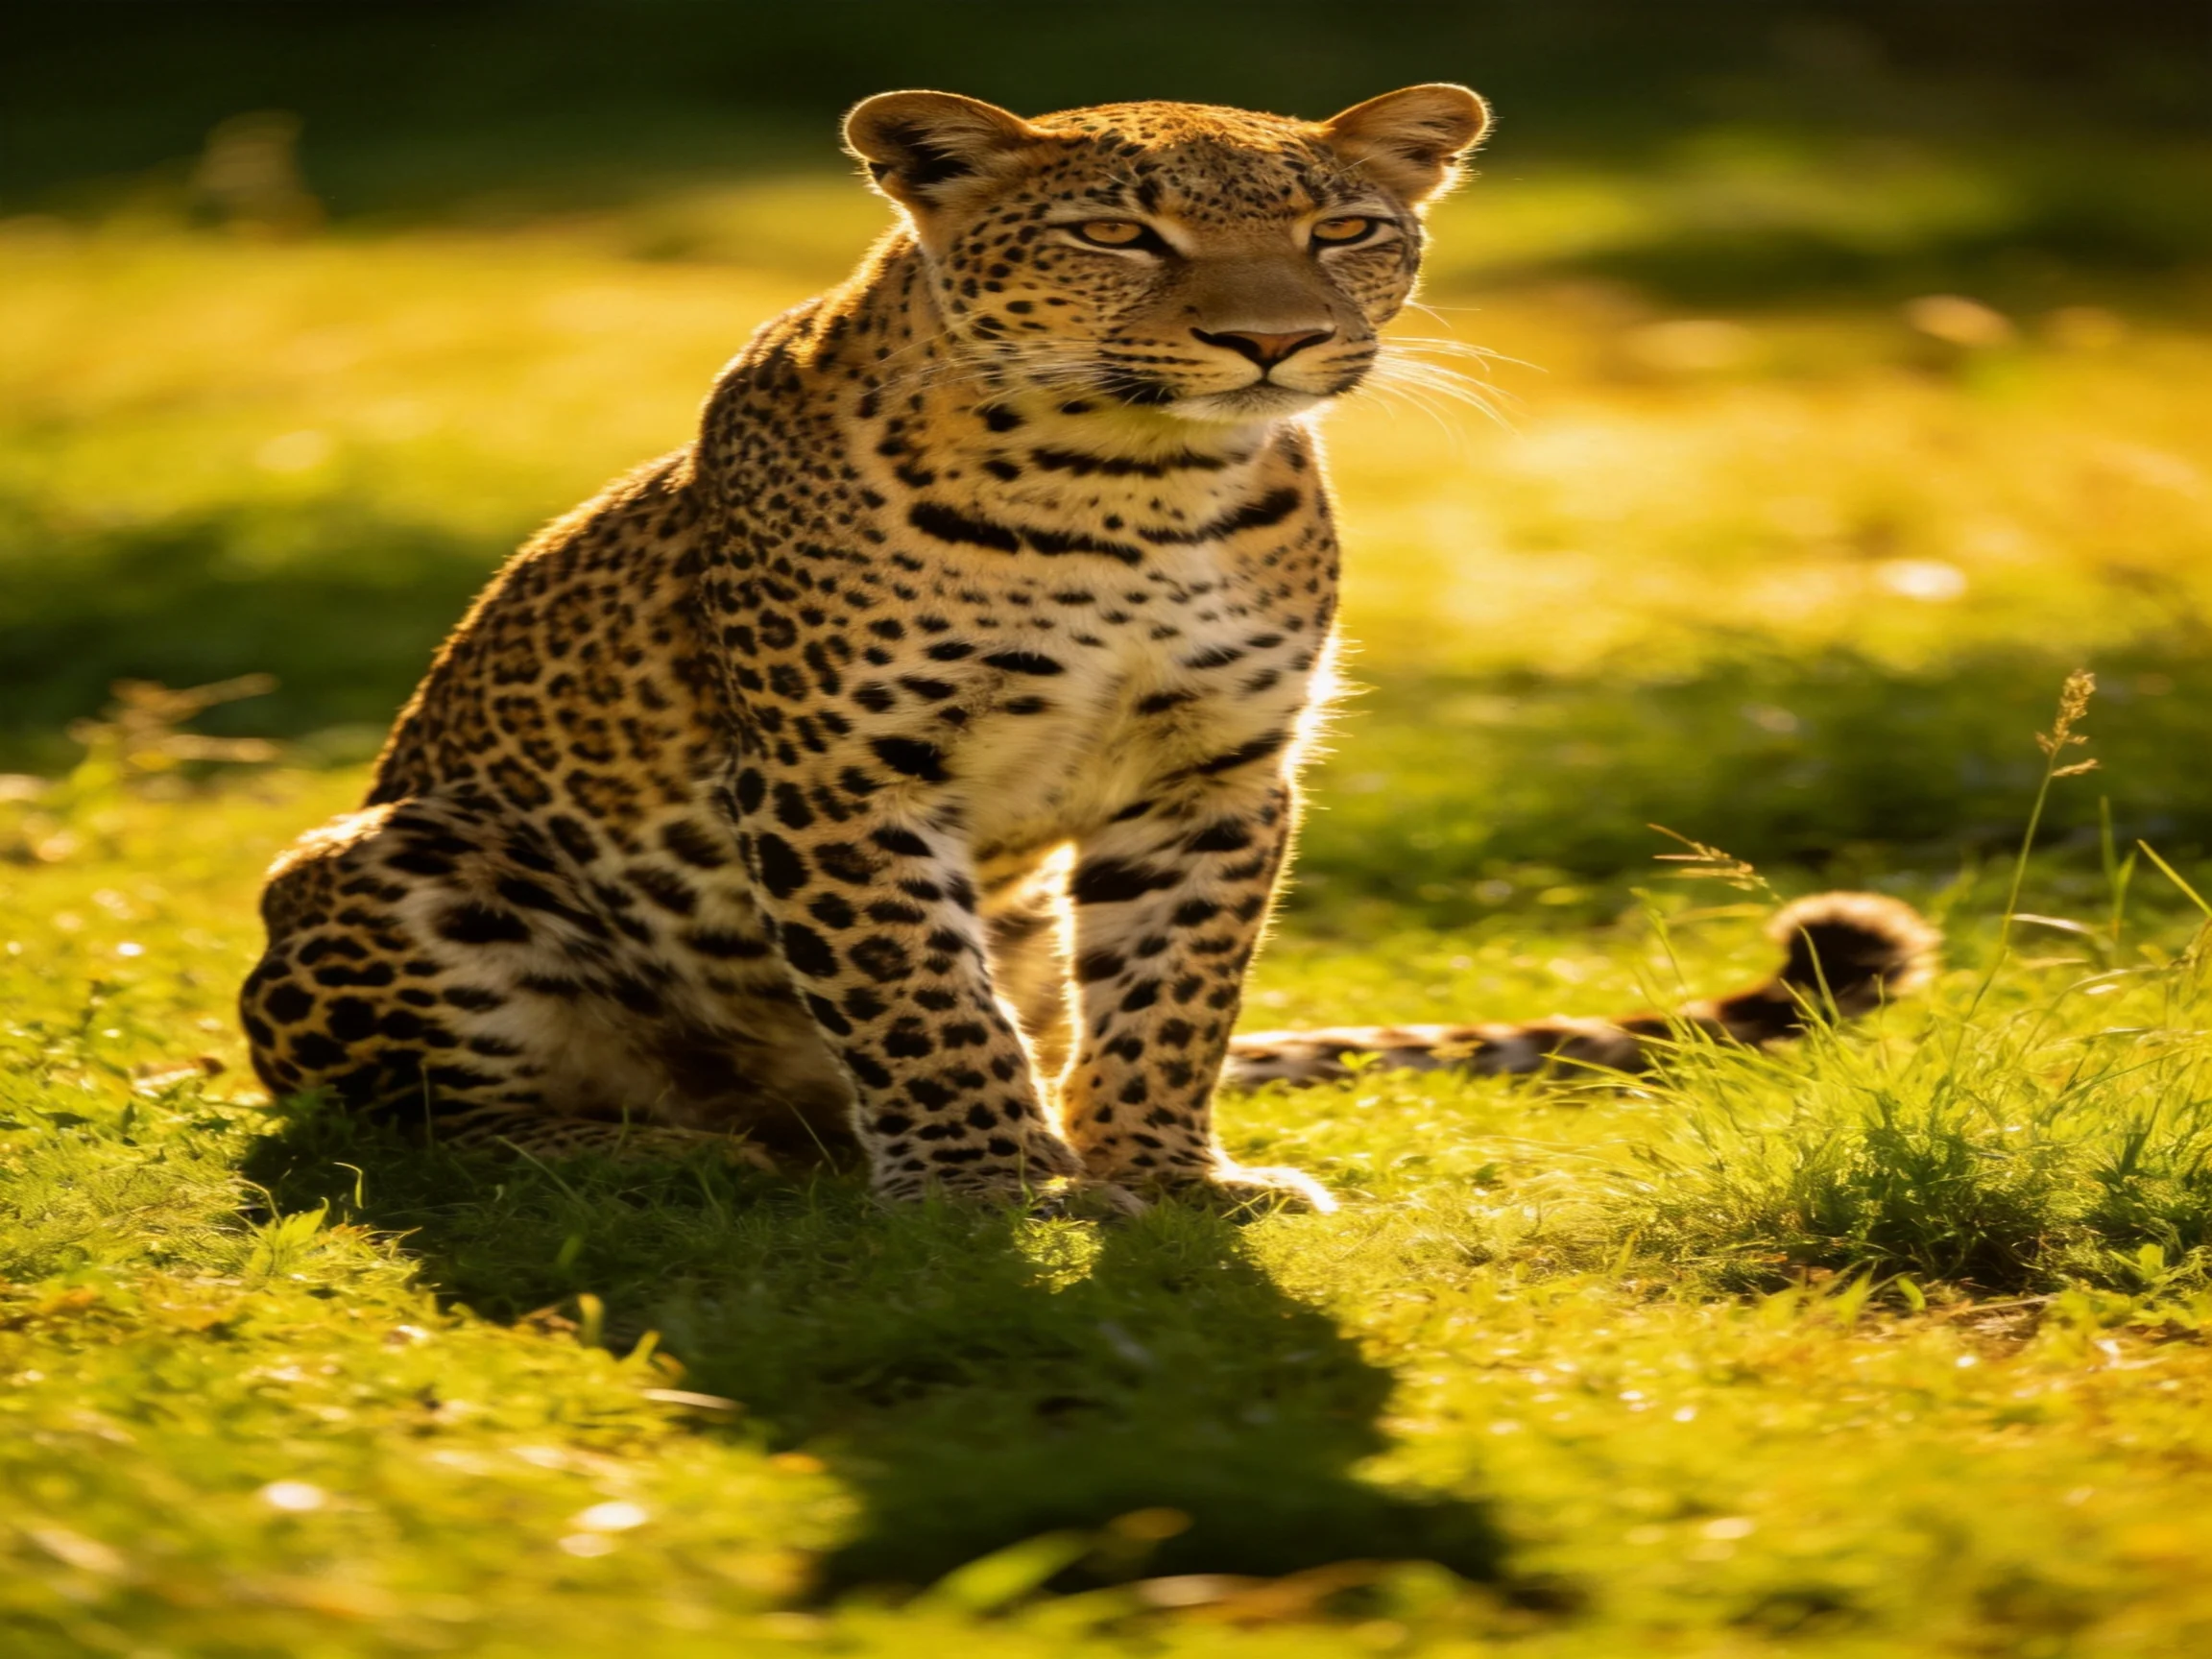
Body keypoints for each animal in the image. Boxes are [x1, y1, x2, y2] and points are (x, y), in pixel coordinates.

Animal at [239, 84, 1939, 1214]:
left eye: (1343, 230)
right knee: (401, 1118)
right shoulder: (843, 776)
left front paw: (1159, 1174)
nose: (1272, 341)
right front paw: (992, 1183)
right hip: (390, 857)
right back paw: (646, 1147)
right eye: (1120, 232)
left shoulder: (1213, 772)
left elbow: (1177, 992)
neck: (1130, 489)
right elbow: (917, 995)